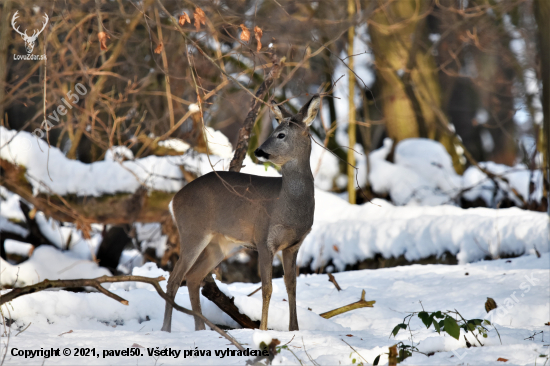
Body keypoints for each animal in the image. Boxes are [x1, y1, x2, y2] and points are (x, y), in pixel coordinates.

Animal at [162, 94, 322, 332]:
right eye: (274, 130)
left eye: (281, 134)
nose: (259, 151)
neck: (287, 206)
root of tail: (174, 199)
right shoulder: (264, 239)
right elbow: (267, 288)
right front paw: (263, 330)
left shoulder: (294, 245)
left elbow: (291, 286)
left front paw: (294, 329)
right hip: (193, 231)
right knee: (174, 278)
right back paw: (166, 329)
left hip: (219, 244)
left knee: (192, 277)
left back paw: (201, 329)